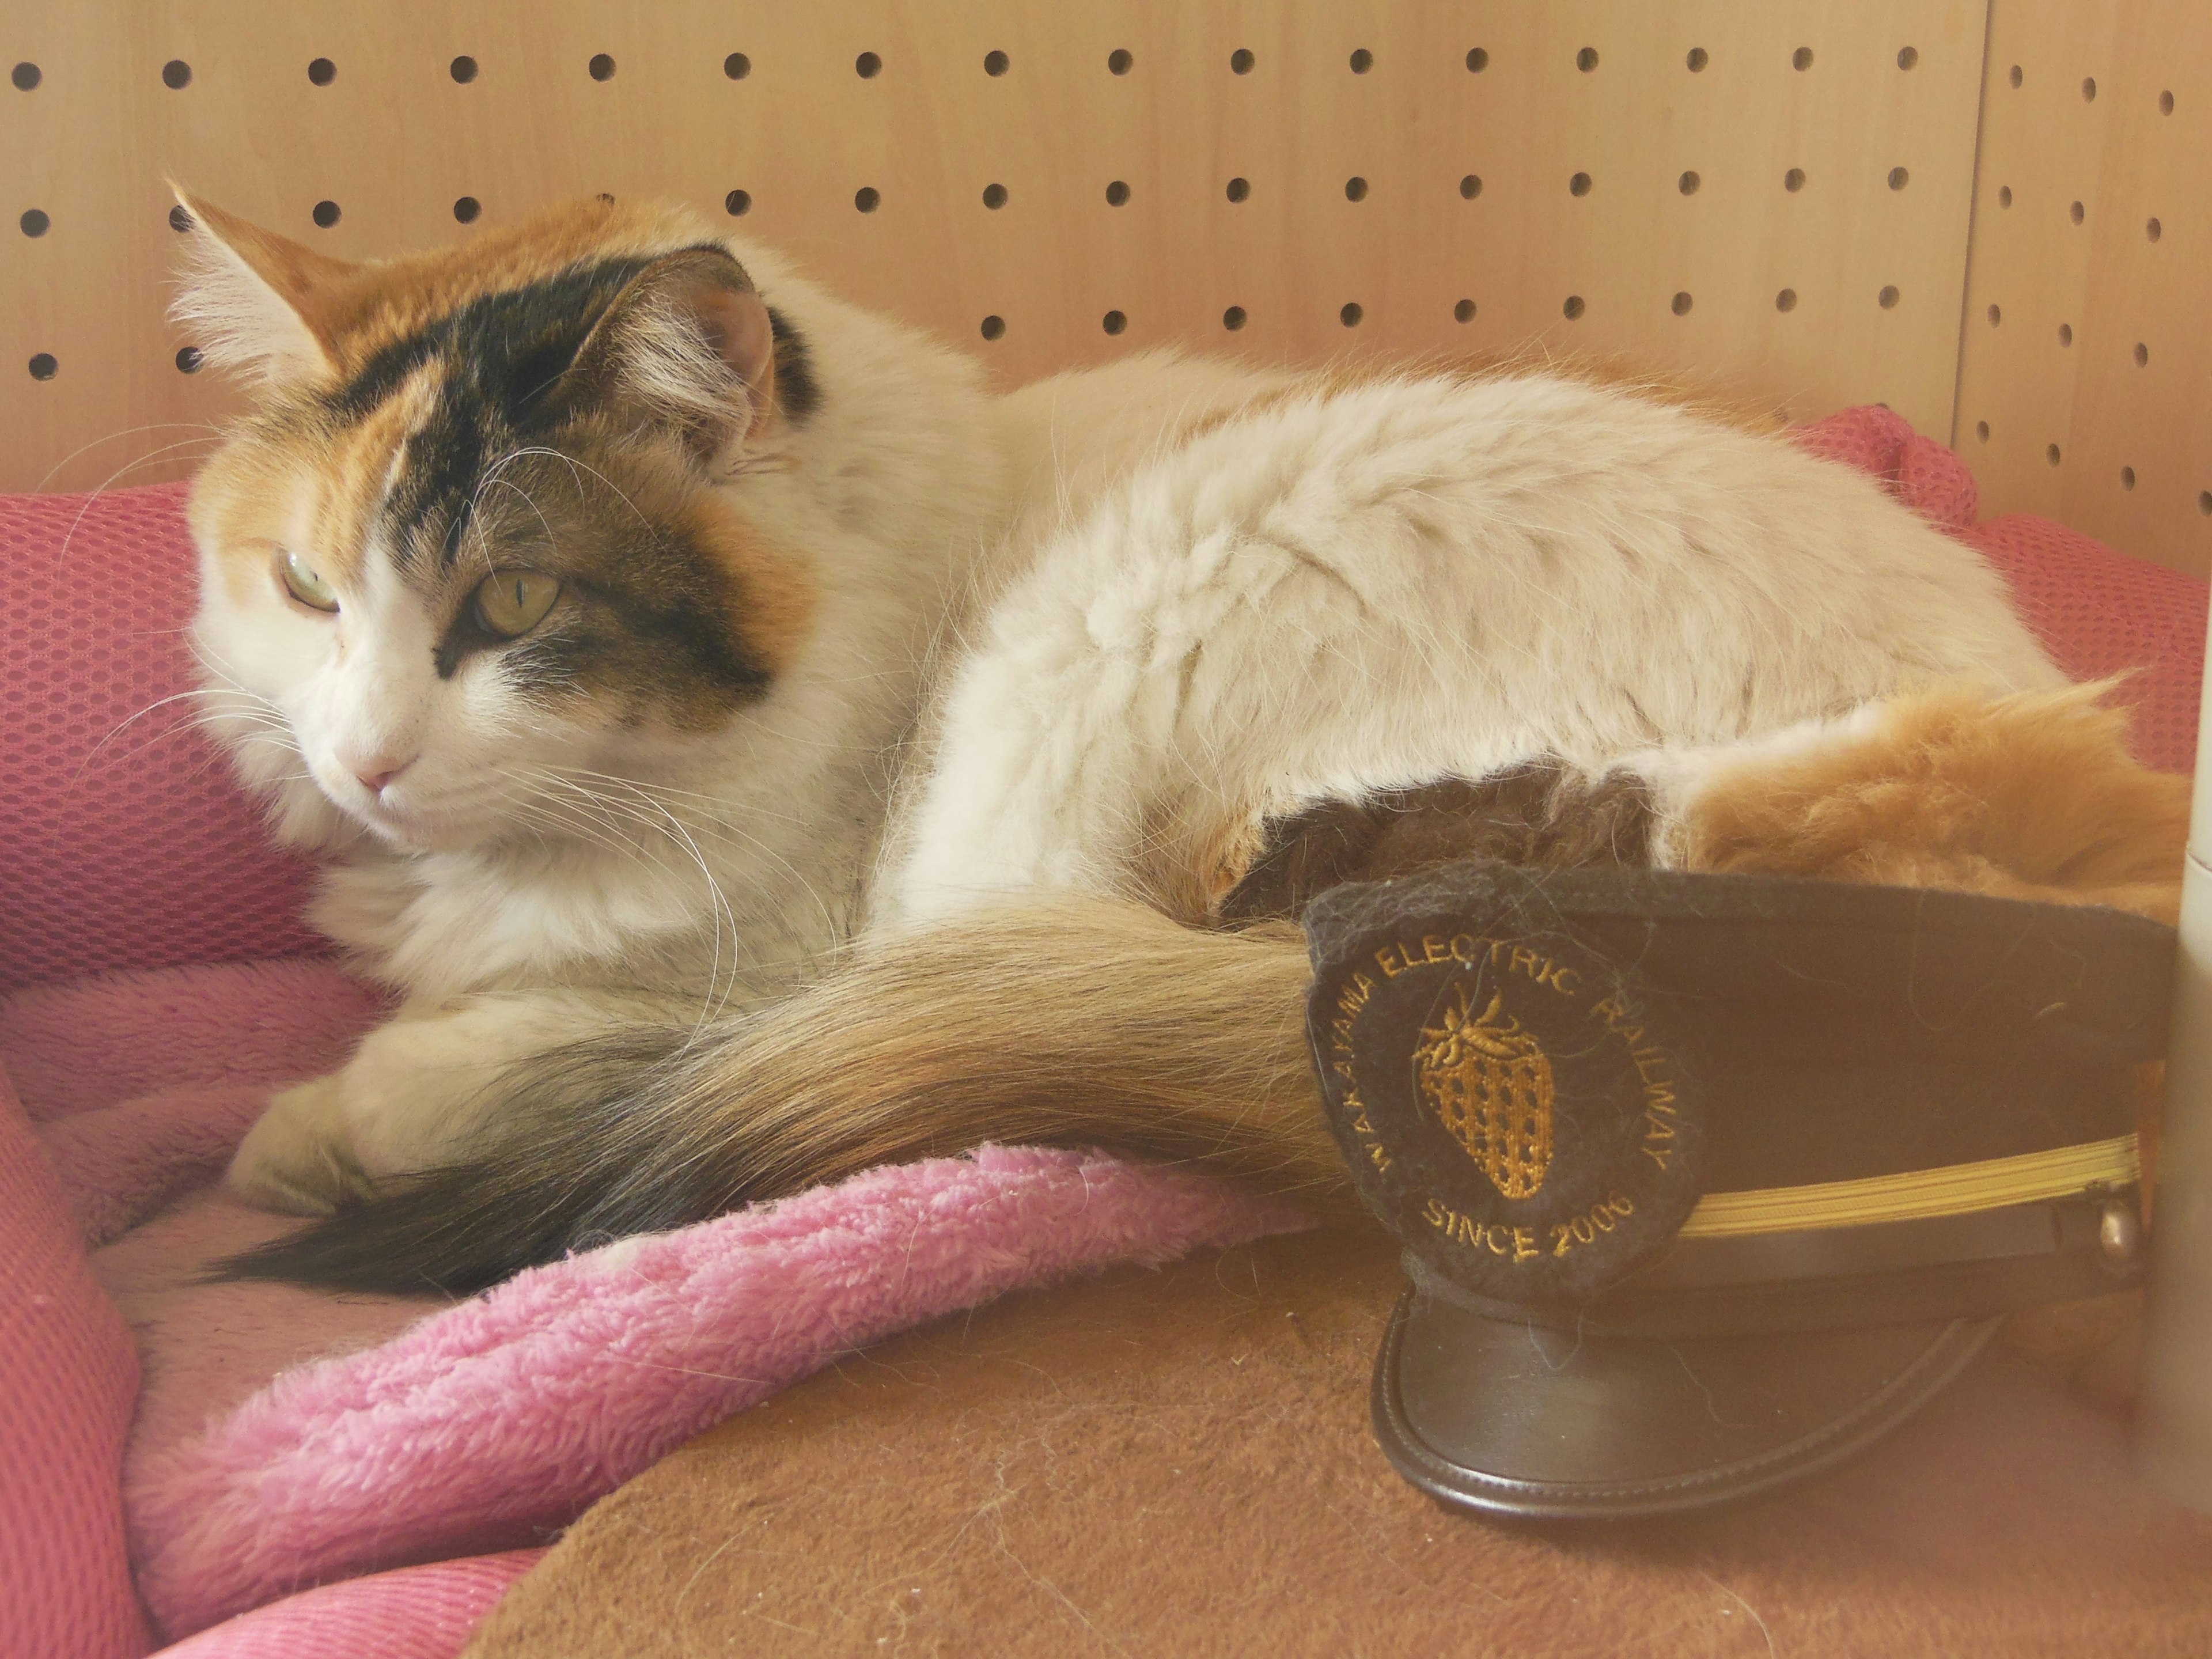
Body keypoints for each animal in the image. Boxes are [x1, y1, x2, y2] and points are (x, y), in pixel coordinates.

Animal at [172, 191, 2158, 1283]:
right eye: (308, 588)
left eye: (510, 606)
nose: (366, 760)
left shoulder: (753, 964)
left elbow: (486, 1046)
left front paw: (311, 1129)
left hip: (1123, 640)